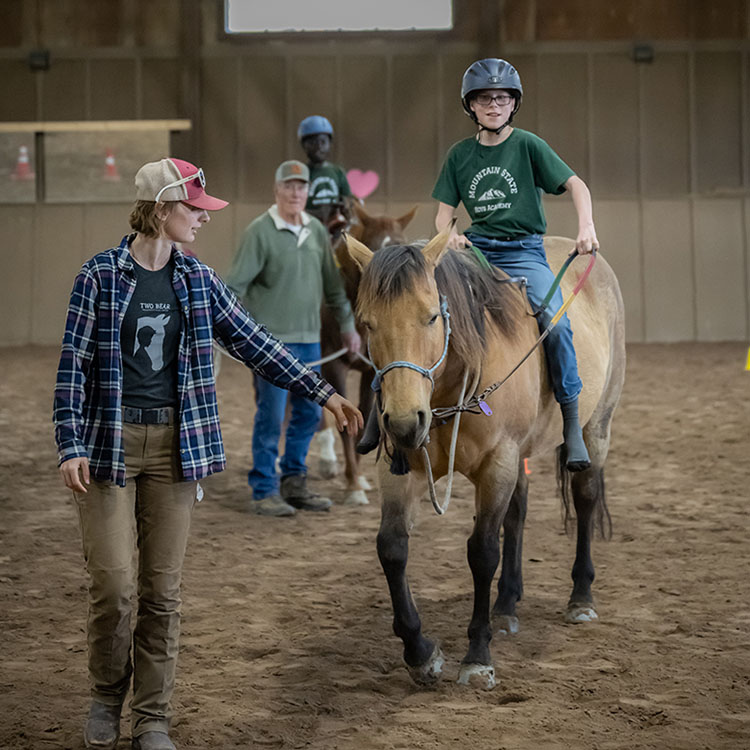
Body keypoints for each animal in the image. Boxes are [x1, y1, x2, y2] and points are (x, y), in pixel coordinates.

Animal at [316, 201, 418, 506]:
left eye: (401, 243)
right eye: (372, 248)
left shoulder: (371, 371)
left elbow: (360, 417)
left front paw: (359, 478)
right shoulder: (334, 364)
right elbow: (344, 421)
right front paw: (353, 487)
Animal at [346, 231, 628, 692]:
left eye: (431, 317)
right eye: (367, 323)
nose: (404, 422)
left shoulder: (499, 462)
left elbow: (482, 551)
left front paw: (478, 655)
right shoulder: (402, 467)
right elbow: (392, 548)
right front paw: (420, 652)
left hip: (596, 426)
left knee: (585, 500)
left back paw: (580, 597)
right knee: (517, 513)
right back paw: (507, 602)